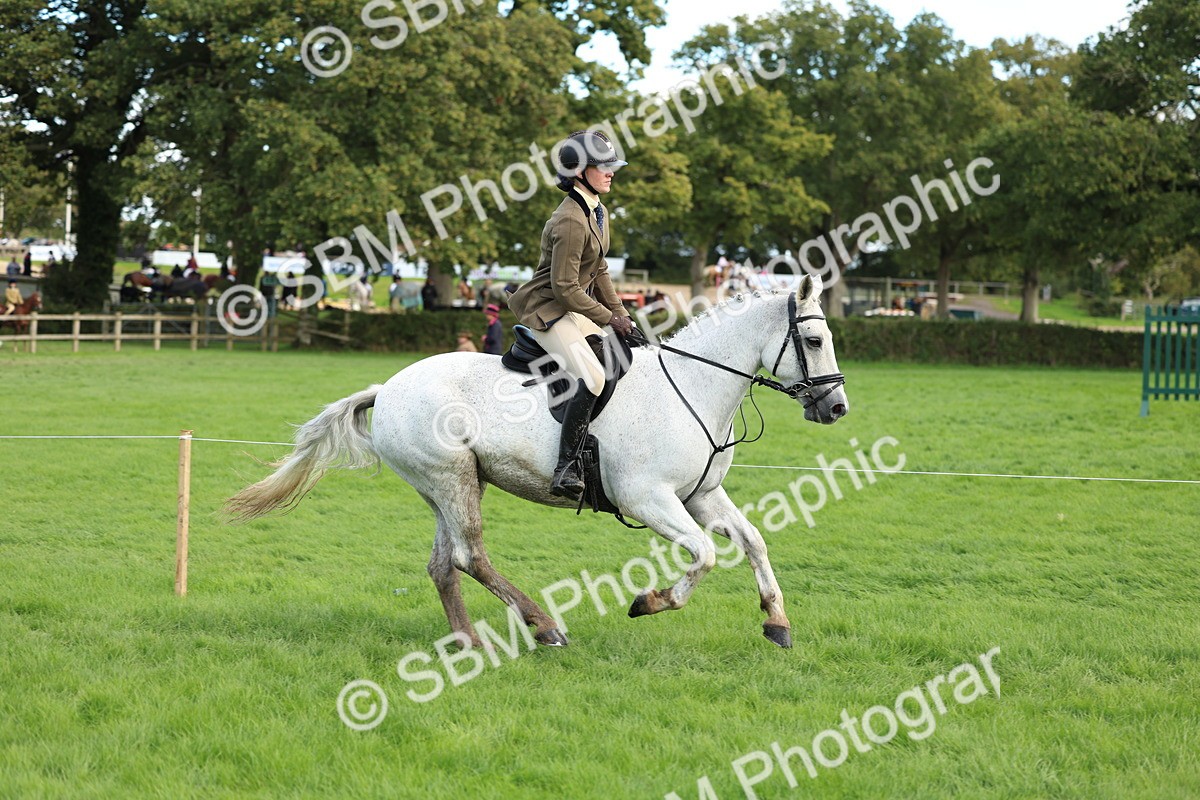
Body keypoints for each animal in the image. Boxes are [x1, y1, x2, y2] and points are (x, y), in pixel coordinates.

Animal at [226, 276, 848, 650]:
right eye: (815, 340)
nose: (837, 407)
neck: (692, 386)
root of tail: (389, 387)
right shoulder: (648, 499)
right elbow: (706, 555)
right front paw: (650, 602)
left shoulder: (700, 495)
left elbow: (752, 542)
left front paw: (777, 623)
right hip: (451, 478)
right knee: (470, 556)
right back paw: (544, 627)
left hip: (449, 484)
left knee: (443, 563)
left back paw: (469, 641)